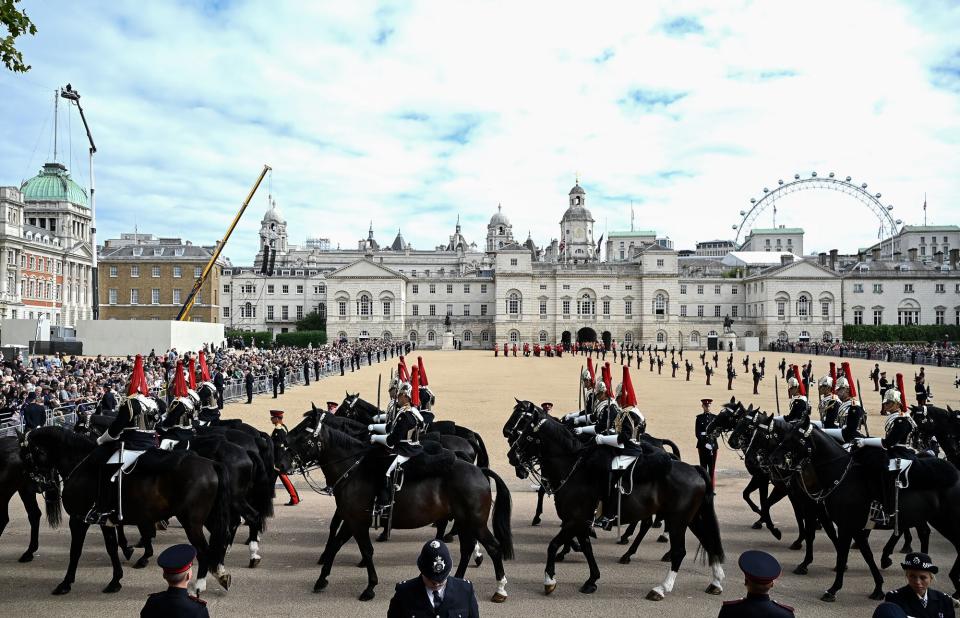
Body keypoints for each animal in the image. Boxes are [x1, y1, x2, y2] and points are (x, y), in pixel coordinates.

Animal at [23, 426, 233, 596]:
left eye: (28, 454)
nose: (35, 483)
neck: (81, 465)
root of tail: (211, 463)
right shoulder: (103, 519)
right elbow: (111, 547)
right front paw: (116, 580)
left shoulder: (78, 519)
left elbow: (75, 551)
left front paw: (65, 583)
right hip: (208, 518)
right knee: (219, 540)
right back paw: (220, 573)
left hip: (191, 522)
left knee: (204, 551)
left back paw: (199, 585)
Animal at [284, 412, 512, 600]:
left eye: (302, 437)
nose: (283, 463)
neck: (353, 470)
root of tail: (479, 470)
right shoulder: (351, 520)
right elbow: (335, 544)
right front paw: (321, 579)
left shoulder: (356, 522)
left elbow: (365, 550)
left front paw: (370, 587)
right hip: (466, 521)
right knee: (466, 548)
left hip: (475, 522)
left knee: (494, 548)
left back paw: (500, 590)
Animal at [502, 402, 720, 600]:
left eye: (527, 434)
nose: (512, 456)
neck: (573, 466)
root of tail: (694, 469)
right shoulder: (580, 521)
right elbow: (586, 548)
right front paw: (591, 579)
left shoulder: (575, 520)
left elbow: (554, 545)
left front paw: (550, 580)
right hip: (690, 519)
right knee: (707, 542)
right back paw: (715, 582)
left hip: (678, 521)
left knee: (678, 551)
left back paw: (660, 587)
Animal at [768, 414, 960, 596]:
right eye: (784, 436)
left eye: (795, 438)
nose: (773, 458)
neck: (840, 474)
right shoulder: (853, 526)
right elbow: (866, 554)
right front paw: (878, 587)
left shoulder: (844, 524)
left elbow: (841, 553)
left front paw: (833, 589)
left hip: (946, 521)